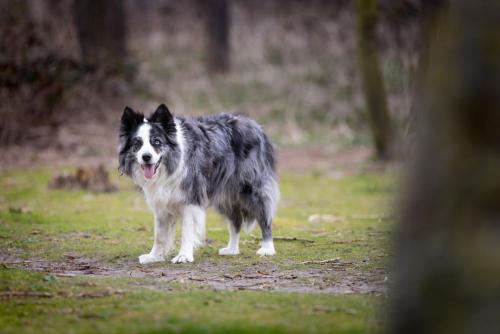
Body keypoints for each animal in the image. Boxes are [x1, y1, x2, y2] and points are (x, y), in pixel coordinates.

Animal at [118, 104, 280, 264]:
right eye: (137, 144)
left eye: (156, 141)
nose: (146, 157)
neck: (172, 163)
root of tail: (255, 125)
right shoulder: (161, 203)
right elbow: (159, 235)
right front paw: (154, 256)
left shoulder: (191, 198)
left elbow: (187, 231)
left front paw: (184, 256)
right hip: (224, 195)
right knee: (236, 221)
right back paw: (232, 249)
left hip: (252, 189)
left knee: (265, 217)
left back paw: (267, 248)